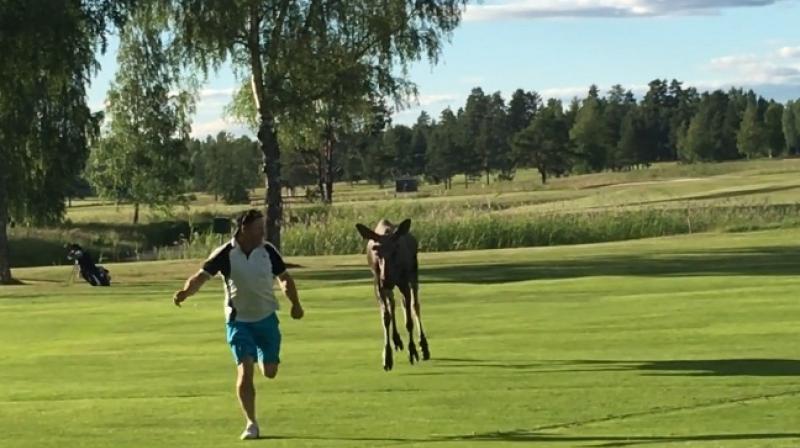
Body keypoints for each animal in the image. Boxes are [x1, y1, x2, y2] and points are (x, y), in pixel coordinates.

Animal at [356, 218, 432, 372]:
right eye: (376, 250)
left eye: (396, 250)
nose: (387, 279)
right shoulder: (378, 285)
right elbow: (385, 318)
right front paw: (387, 357)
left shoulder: (403, 282)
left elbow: (409, 321)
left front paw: (412, 351)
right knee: (393, 303)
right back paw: (396, 340)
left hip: (413, 273)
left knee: (415, 305)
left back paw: (423, 346)